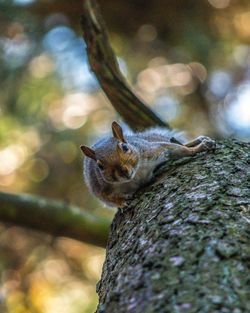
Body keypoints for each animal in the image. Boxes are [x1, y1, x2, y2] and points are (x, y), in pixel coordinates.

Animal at [80, 122, 215, 207]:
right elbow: (109, 199)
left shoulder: (153, 150)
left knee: (175, 142)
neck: (136, 175)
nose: (124, 172)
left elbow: (177, 149)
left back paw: (198, 141)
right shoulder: (101, 189)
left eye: (125, 147)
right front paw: (122, 202)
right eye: (100, 166)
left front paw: (199, 148)